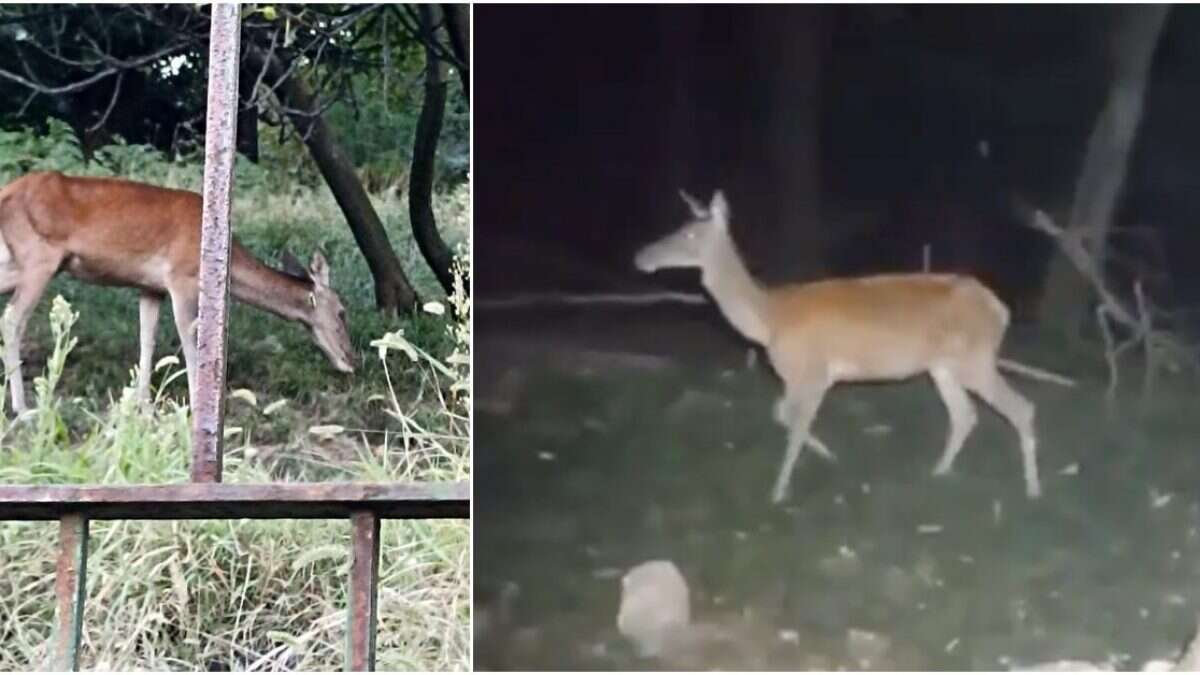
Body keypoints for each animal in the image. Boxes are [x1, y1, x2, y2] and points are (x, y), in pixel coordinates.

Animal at [0, 170, 355, 413]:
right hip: (39, 257)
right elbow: (191, 340)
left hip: (16, 262)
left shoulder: (150, 286)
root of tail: (7, 192)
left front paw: (143, 404)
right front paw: (200, 406)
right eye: (341, 312)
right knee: (12, 319)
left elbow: (147, 338)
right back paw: (22, 407)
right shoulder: (182, 278)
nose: (352, 360)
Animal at [633, 187, 1075, 499]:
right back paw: (939, 472)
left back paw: (1033, 489)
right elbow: (782, 415)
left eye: (689, 233)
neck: (770, 318)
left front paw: (779, 492)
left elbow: (794, 423)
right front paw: (829, 456)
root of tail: (1000, 309)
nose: (641, 256)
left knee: (1021, 407)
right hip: (943, 365)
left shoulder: (811, 371)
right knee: (965, 415)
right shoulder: (799, 377)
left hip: (975, 358)